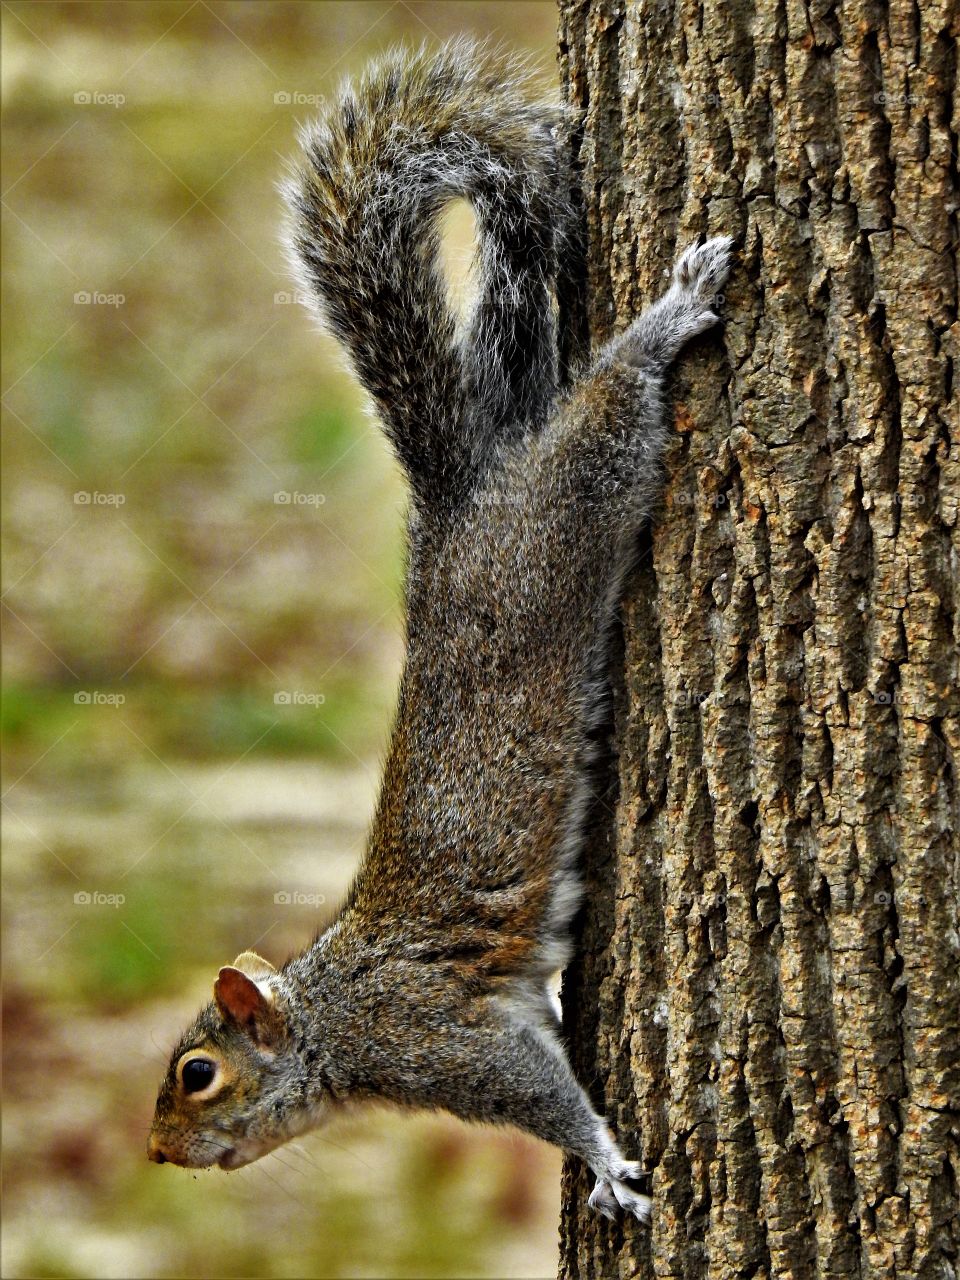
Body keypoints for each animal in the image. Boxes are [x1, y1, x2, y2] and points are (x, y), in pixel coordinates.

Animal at [148, 39, 733, 1226]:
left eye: (198, 1073)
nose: (154, 1151)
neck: (332, 1023)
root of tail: (466, 506)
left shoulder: (434, 1042)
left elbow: (542, 1094)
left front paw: (605, 1164)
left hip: (559, 517)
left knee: (608, 412)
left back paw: (669, 314)